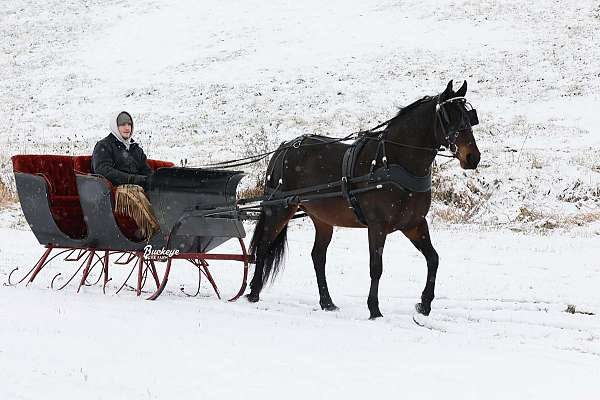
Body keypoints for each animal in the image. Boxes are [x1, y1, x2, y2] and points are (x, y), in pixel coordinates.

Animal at [246, 80, 480, 318]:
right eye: (450, 117)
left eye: (469, 117)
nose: (473, 157)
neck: (394, 162)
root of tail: (284, 147)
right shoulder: (377, 226)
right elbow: (376, 267)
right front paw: (374, 309)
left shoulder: (414, 224)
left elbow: (433, 259)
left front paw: (424, 304)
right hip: (279, 209)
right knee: (263, 246)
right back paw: (254, 292)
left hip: (322, 219)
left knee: (318, 256)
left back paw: (327, 302)